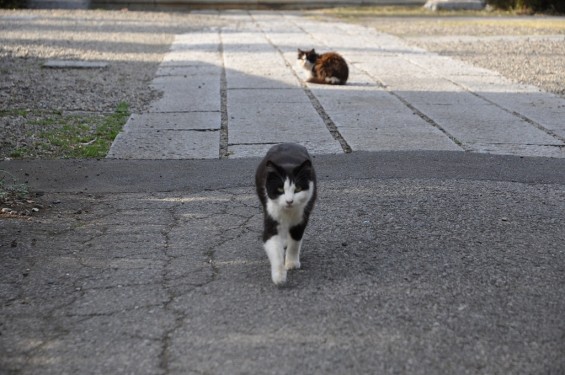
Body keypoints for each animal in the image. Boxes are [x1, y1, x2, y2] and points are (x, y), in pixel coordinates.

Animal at [256, 143, 318, 284]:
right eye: (280, 189)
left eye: (298, 189)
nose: (289, 201)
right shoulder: (271, 216)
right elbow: (274, 246)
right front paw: (279, 276)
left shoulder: (301, 217)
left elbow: (295, 241)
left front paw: (291, 263)